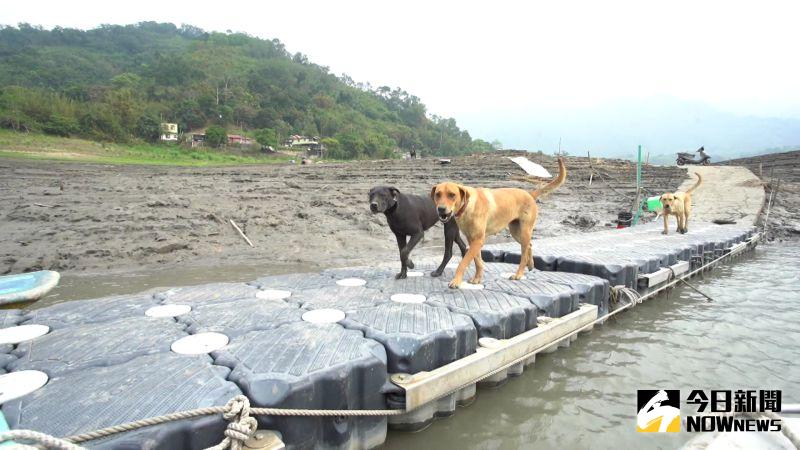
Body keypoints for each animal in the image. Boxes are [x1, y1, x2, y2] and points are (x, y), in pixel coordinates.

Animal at [432, 158, 568, 288]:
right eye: (438, 194)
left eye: (452, 195)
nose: (441, 209)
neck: (467, 206)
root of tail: (529, 194)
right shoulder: (472, 240)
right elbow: (478, 261)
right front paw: (477, 278)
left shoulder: (478, 240)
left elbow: (463, 262)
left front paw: (456, 281)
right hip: (515, 232)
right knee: (529, 245)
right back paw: (530, 264)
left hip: (524, 231)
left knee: (524, 253)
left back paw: (519, 274)